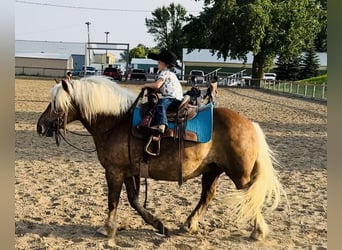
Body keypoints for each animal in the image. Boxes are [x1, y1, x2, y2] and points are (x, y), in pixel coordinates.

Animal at [36, 76, 284, 242]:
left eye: (56, 104)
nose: (40, 126)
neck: (115, 122)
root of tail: (250, 125)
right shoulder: (129, 172)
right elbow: (135, 201)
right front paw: (159, 225)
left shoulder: (114, 171)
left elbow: (113, 200)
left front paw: (107, 228)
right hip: (212, 170)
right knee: (207, 196)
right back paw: (189, 225)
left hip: (239, 174)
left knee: (249, 197)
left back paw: (258, 231)